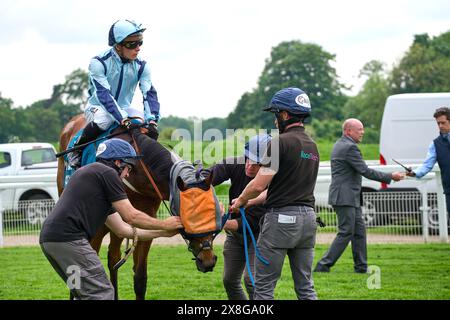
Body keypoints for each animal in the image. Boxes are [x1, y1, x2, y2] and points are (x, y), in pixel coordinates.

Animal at [57, 115, 219, 300]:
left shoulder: (145, 223)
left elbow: (140, 277)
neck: (137, 172)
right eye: (188, 214)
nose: (208, 260)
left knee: (113, 258)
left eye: (211, 212)